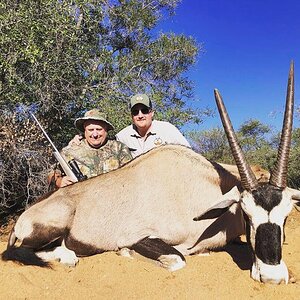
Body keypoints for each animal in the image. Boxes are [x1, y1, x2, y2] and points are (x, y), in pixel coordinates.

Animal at [2, 62, 300, 284]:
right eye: (247, 215)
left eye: (286, 216)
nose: (272, 277)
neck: (197, 190)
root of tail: (23, 217)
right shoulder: (142, 238)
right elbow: (178, 260)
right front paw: (126, 253)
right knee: (24, 252)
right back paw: (68, 256)